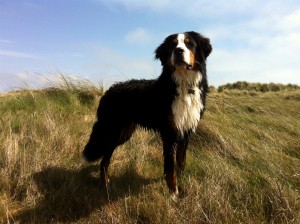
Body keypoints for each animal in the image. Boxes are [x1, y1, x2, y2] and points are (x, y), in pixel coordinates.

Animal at [83, 31, 212, 196]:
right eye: (172, 45)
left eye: (189, 44)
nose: (178, 51)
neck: (184, 85)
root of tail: (108, 91)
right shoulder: (170, 132)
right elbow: (170, 167)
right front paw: (173, 193)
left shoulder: (186, 130)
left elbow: (181, 161)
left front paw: (182, 182)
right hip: (113, 131)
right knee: (104, 158)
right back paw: (104, 184)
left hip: (124, 132)